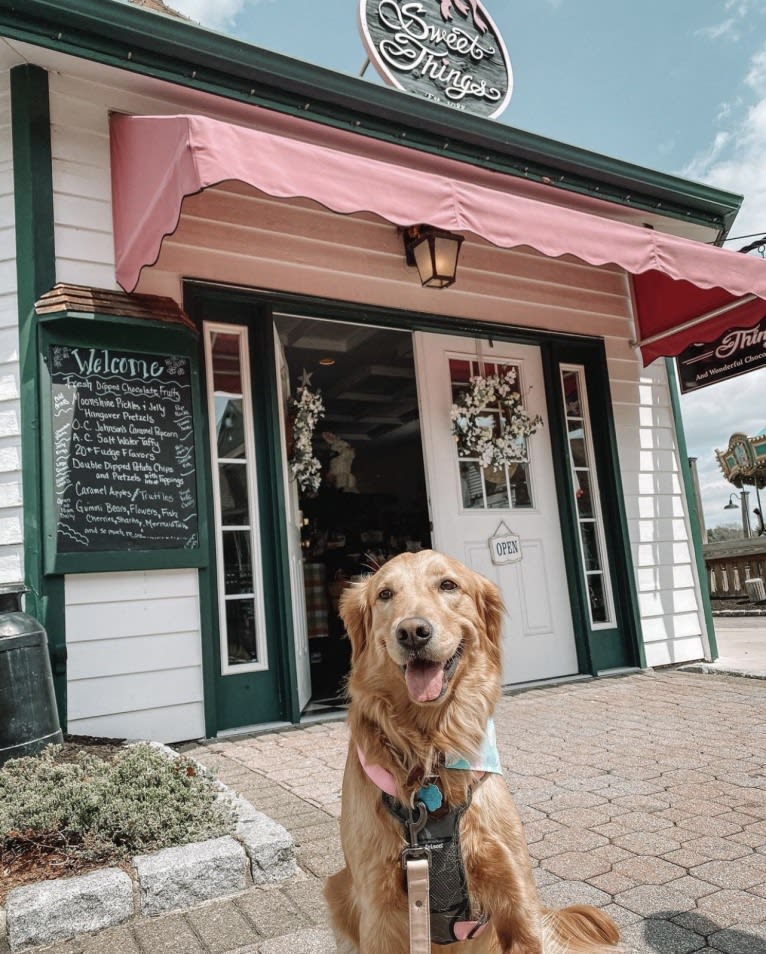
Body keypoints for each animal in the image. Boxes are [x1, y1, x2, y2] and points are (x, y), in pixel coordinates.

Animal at [326, 552, 624, 952]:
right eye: (385, 594)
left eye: (448, 585)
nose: (412, 632)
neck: (431, 751)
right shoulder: (378, 910)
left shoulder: (517, 896)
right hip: (338, 891)